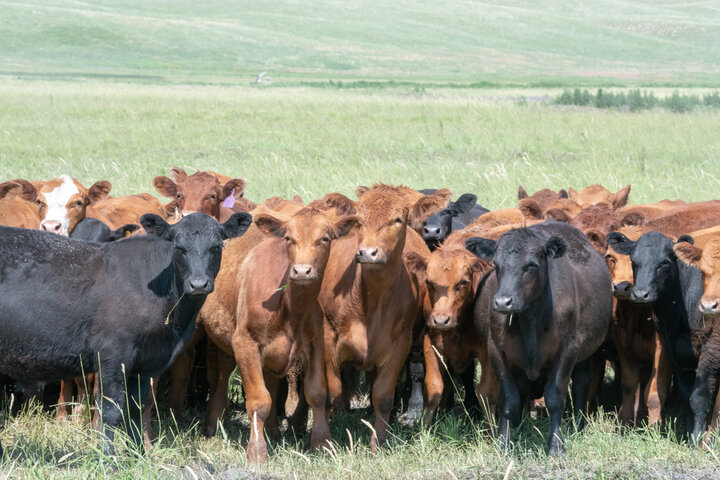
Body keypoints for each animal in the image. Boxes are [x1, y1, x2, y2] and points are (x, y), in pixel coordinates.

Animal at [0, 213, 250, 458]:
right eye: (178, 248)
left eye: (217, 246)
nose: (198, 284)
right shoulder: (113, 357)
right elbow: (110, 411)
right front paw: (107, 459)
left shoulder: (145, 364)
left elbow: (137, 409)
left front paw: (139, 455)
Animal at [233, 208, 362, 464]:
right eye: (288, 238)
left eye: (325, 238)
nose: (302, 270)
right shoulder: (244, 343)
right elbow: (259, 401)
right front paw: (257, 452)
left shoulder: (316, 344)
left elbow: (317, 393)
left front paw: (321, 443)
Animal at [466, 221, 612, 454]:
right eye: (496, 264)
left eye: (531, 265)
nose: (503, 302)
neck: (530, 320)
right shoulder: (497, 350)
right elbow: (509, 399)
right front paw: (504, 443)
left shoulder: (567, 350)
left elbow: (555, 398)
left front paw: (556, 446)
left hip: (586, 351)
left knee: (581, 383)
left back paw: (578, 426)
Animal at [608, 231, 704, 440]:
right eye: (634, 261)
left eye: (664, 263)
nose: (640, 294)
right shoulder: (624, 348)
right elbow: (628, 385)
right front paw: (625, 425)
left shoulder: (663, 352)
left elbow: (653, 392)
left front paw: (654, 430)